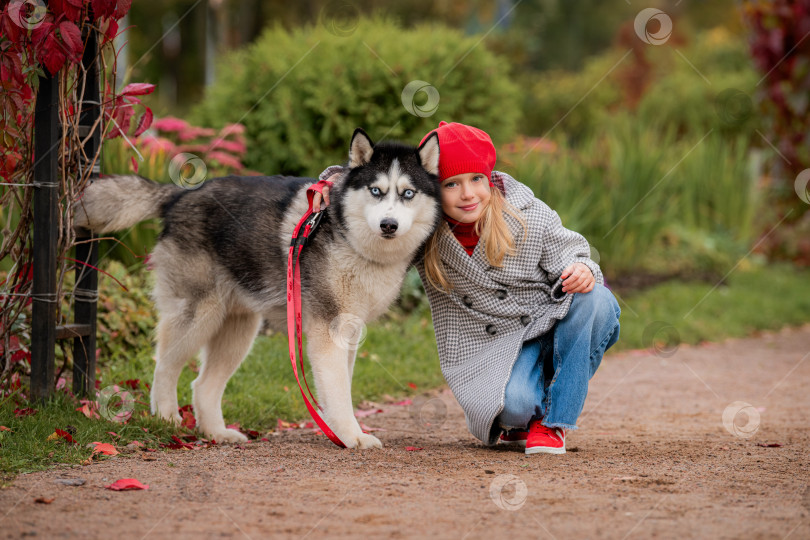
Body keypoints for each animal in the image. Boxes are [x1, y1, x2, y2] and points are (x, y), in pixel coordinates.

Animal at [74, 130, 442, 448]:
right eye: (376, 191)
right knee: (164, 365)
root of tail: (182, 194)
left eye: (408, 194)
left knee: (202, 384)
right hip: (199, 315)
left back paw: (217, 433)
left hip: (238, 328)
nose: (388, 225)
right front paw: (352, 436)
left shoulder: (349, 329)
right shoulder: (328, 329)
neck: (351, 240)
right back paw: (166, 417)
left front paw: (341, 431)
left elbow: (341, 387)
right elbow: (338, 392)